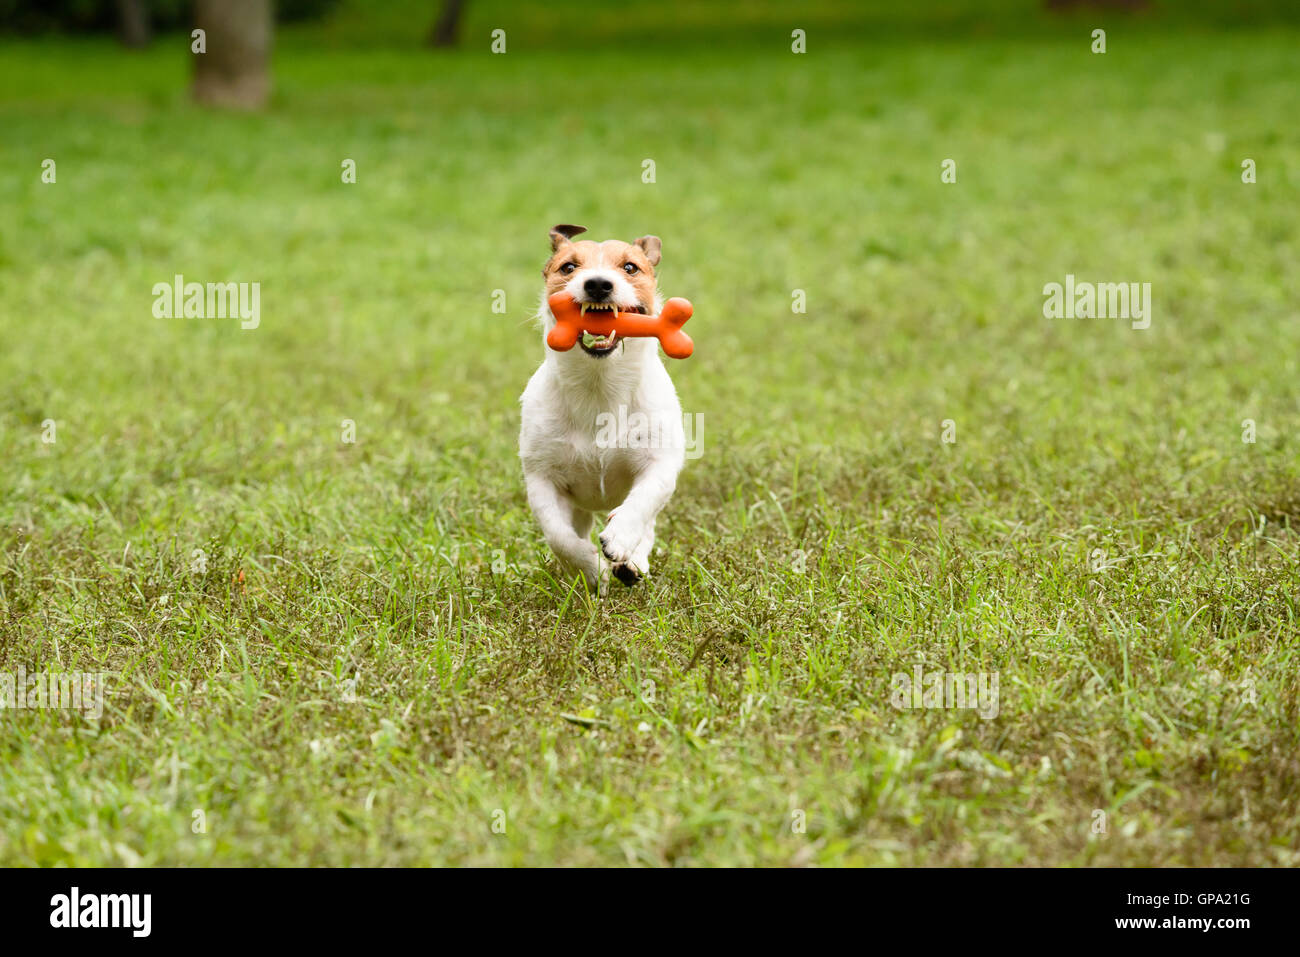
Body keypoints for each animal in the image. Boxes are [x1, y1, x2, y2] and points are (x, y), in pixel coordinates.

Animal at [517, 223, 686, 590]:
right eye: (568, 267)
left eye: (630, 267)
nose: (597, 284)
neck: (600, 386)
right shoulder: (542, 477)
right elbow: (559, 536)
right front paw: (591, 569)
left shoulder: (660, 464)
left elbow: (643, 503)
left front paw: (621, 540)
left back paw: (633, 561)